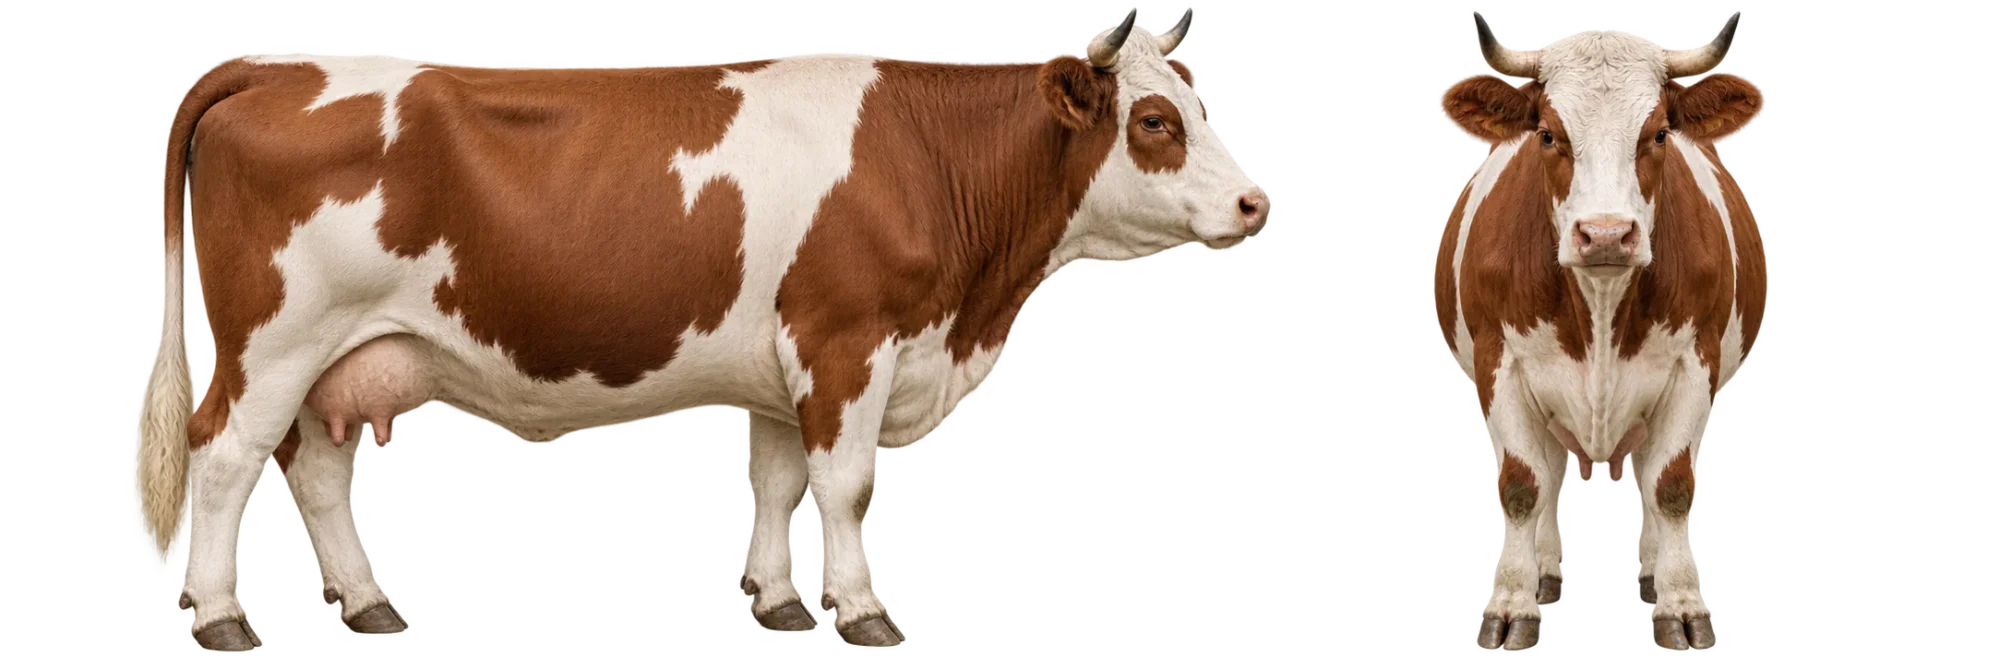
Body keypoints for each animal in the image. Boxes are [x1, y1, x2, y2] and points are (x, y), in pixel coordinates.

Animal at [130, 7, 1270, 653]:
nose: (1257, 203)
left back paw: (368, 602)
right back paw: (223, 617)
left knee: (317, 471)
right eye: (1155, 123)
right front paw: (862, 612)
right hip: (272, 341)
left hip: (337, 355)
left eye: (1199, 104)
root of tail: (275, 65)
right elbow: (845, 487)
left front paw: (775, 600)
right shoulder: (846, 340)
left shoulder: (786, 368)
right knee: (224, 458)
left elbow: (775, 482)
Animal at [1433, 11, 1766, 653]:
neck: (1602, 303)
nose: (1607, 234)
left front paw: (1681, 606)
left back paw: (1653, 574)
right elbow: (1522, 485)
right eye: (1546, 134)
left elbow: (1670, 486)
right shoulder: (1499, 364)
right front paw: (1509, 607)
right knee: (1546, 473)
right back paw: (1541, 572)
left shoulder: (1695, 365)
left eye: (1658, 134)